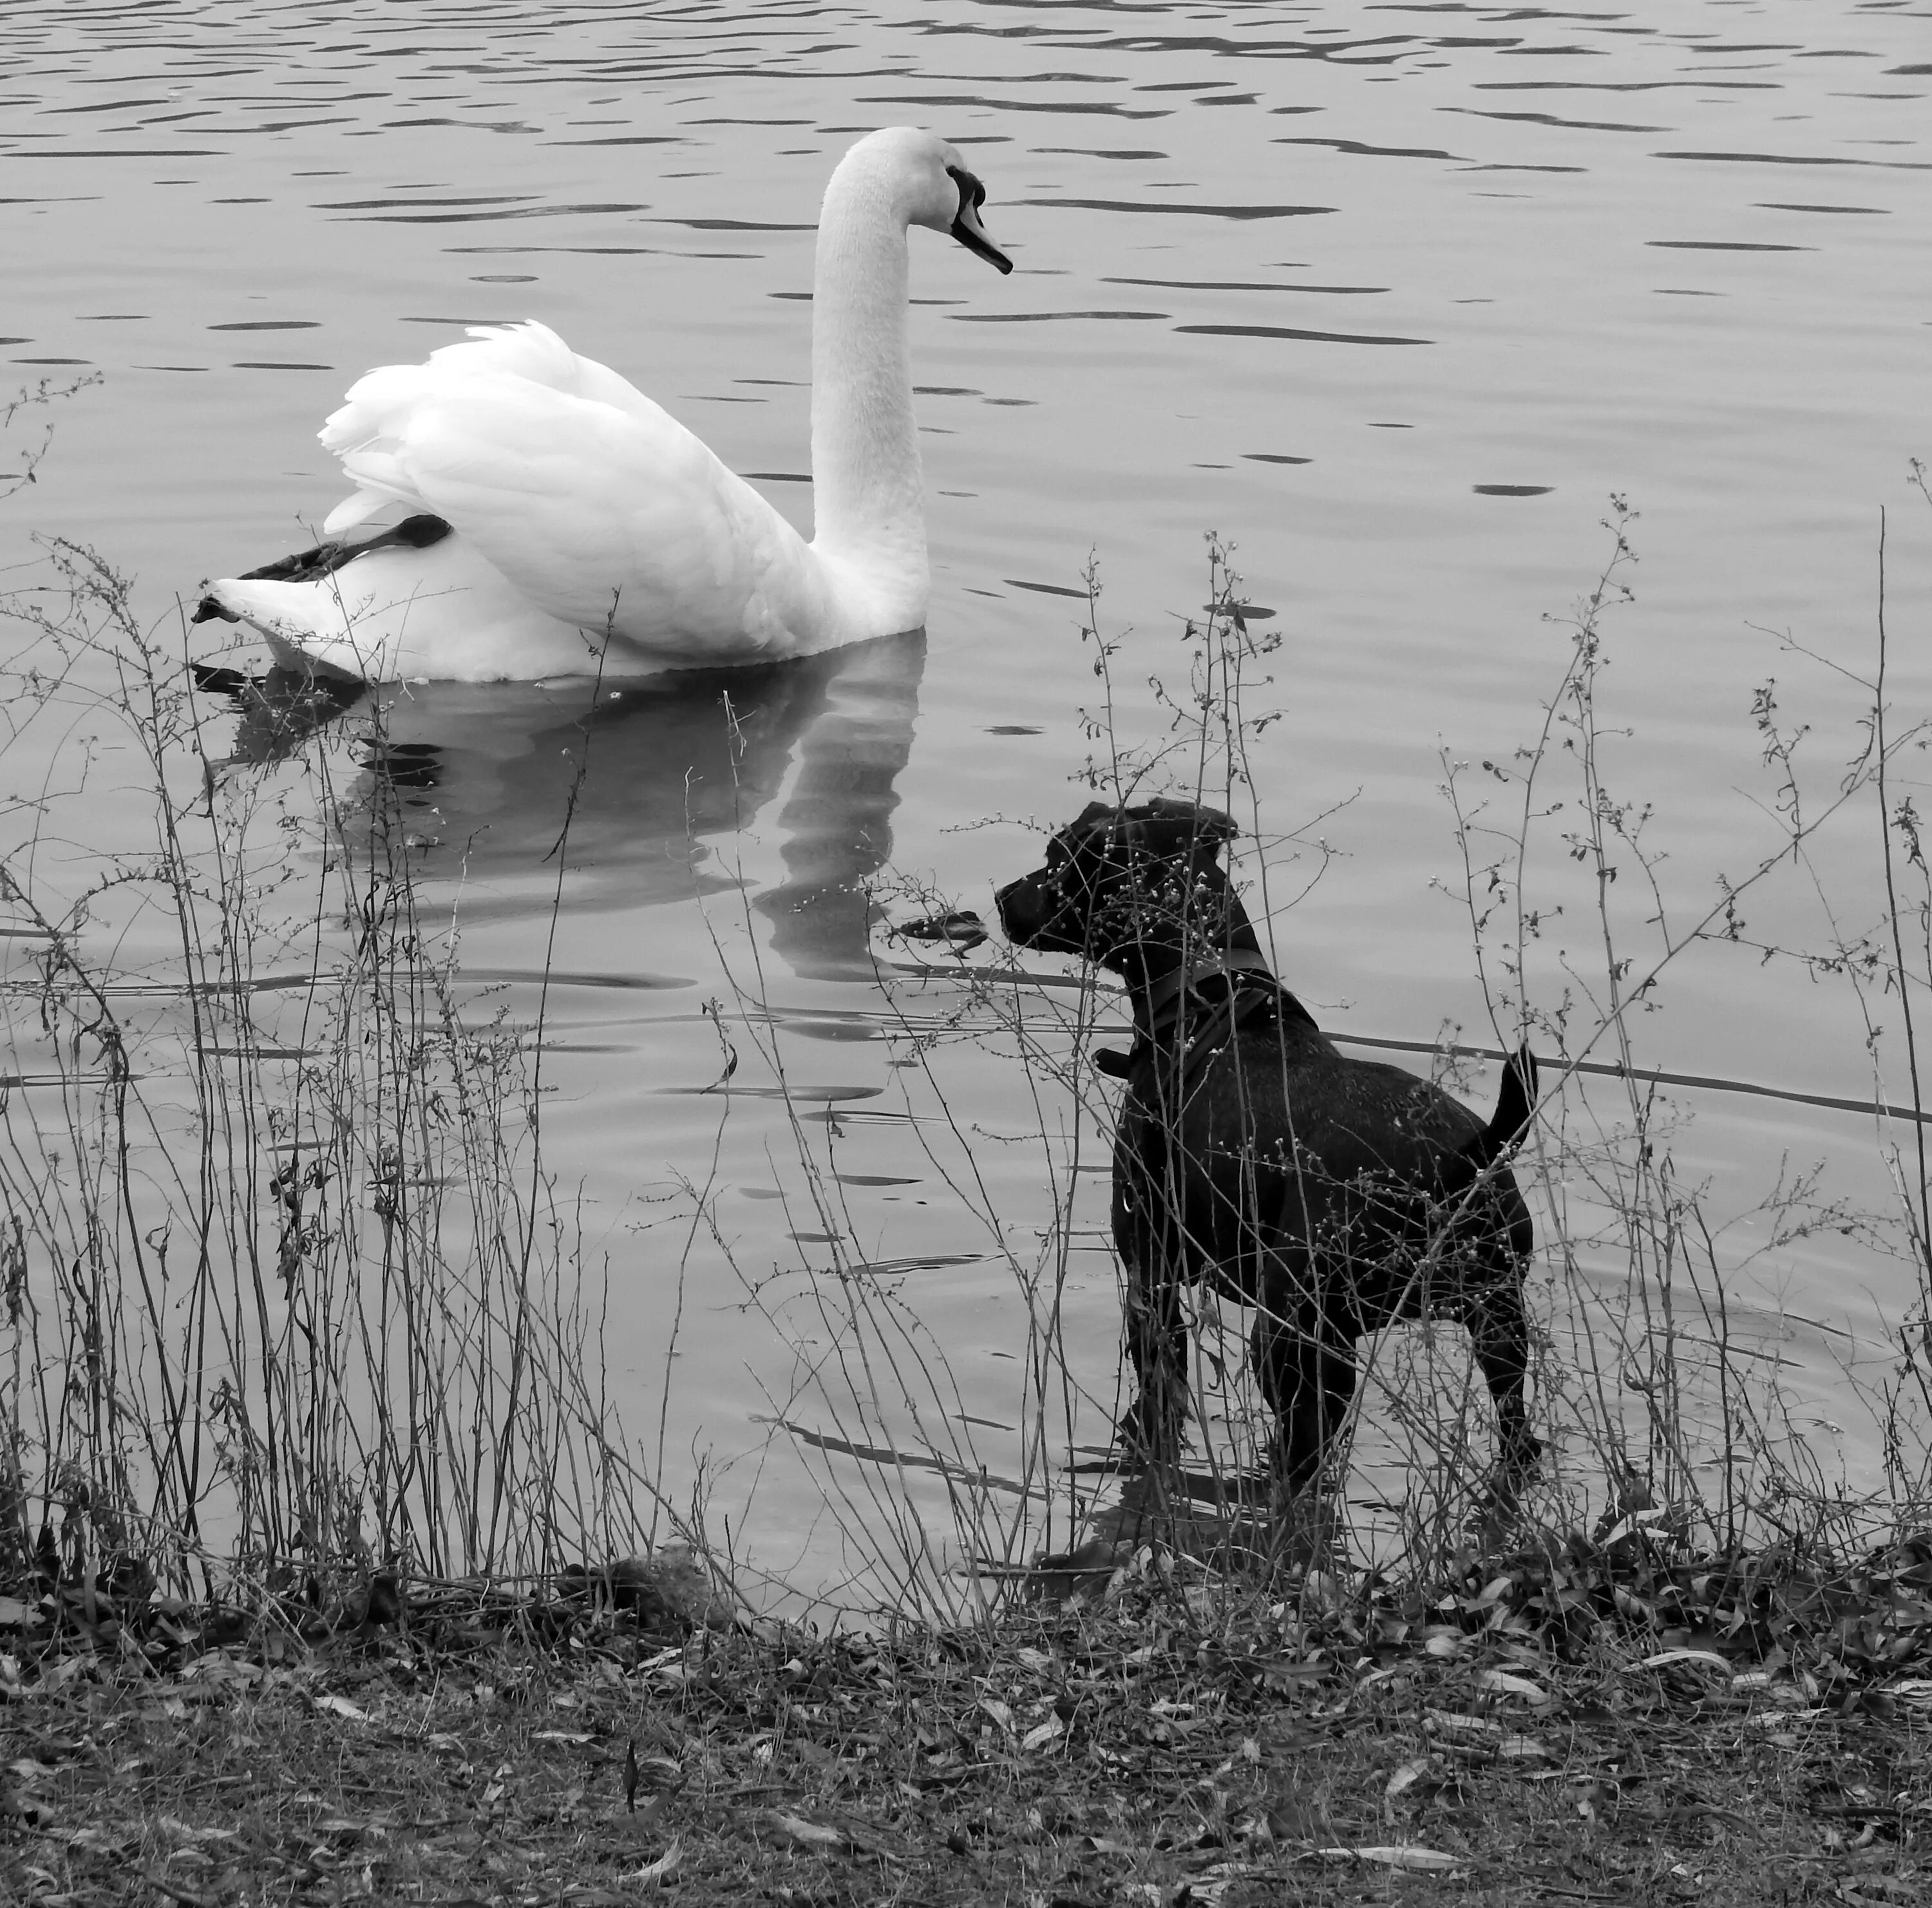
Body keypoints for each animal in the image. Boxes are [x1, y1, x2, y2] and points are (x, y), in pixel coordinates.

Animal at [997, 795, 1538, 1498]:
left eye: (1058, 856)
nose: (1002, 895)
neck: (1207, 993)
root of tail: (1457, 1162)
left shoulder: (1150, 1273)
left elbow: (1159, 1390)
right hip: (1499, 1323)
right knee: (1518, 1436)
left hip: (1292, 1335)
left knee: (1303, 1446)